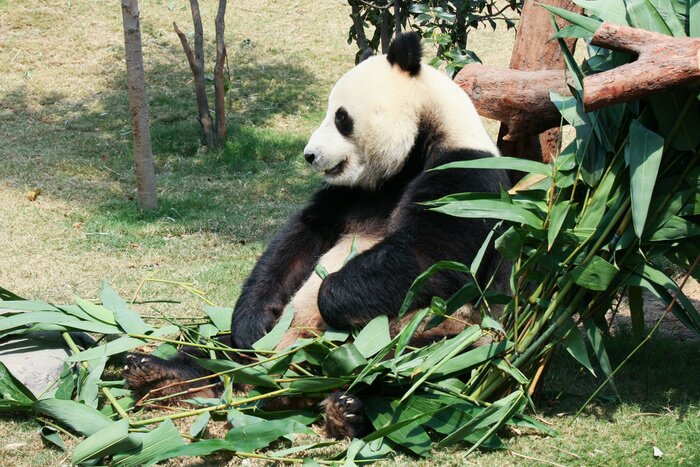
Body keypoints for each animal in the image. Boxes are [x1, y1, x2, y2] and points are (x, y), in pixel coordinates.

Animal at [124, 32, 510, 439]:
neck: (418, 143)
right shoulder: (352, 192)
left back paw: (346, 408)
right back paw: (161, 373)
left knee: (409, 371)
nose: (310, 155)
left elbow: (432, 256)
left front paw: (333, 296)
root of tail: (282, 375)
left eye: (340, 117)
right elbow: (300, 239)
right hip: (266, 346)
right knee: (222, 351)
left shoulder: (466, 177)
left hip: (444, 335)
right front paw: (252, 318)